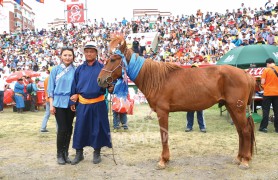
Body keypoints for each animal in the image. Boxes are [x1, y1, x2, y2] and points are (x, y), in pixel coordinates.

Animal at [97, 36, 256, 169]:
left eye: (113, 60)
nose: (100, 80)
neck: (156, 79)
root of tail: (246, 74)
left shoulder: (162, 112)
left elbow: (164, 135)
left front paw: (163, 160)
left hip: (237, 108)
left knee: (246, 130)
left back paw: (245, 160)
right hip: (231, 108)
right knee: (240, 131)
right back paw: (239, 158)